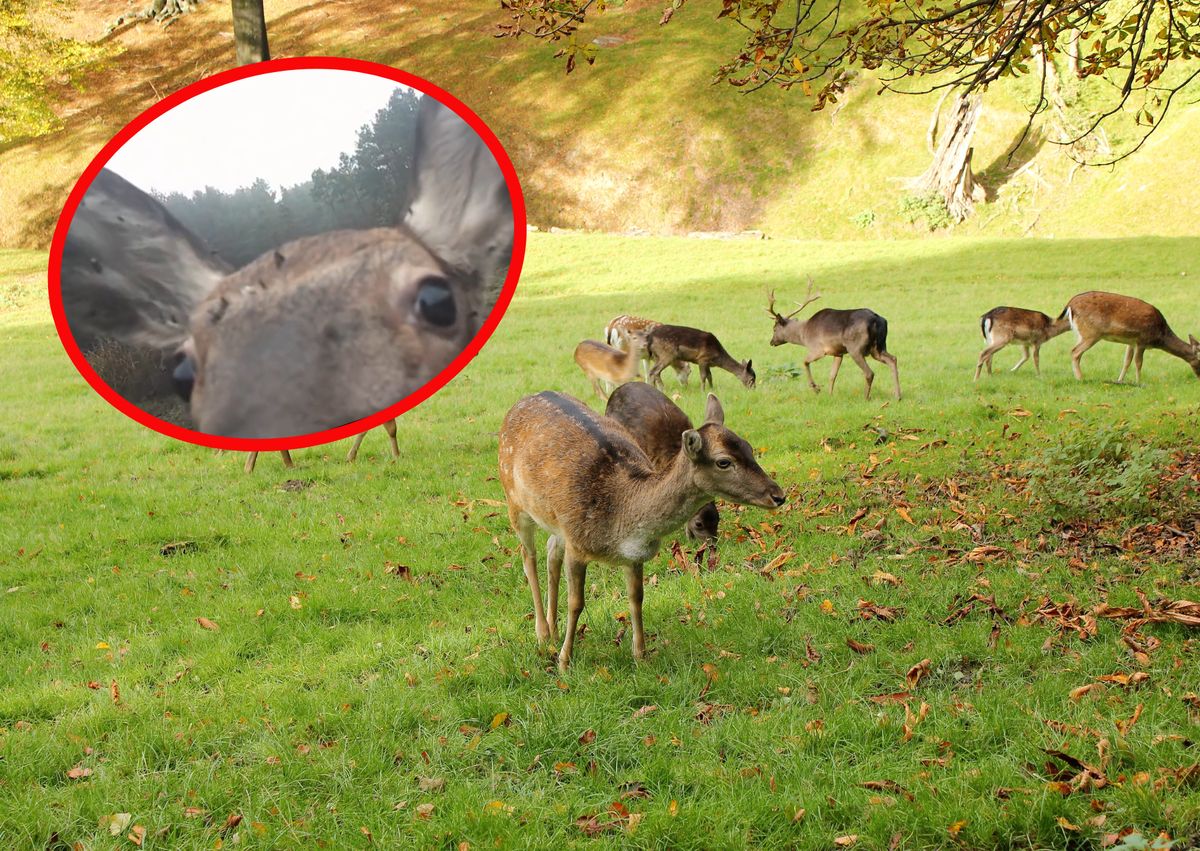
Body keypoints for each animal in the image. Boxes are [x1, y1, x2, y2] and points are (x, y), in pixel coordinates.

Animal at [768, 278, 902, 398]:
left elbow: (804, 361)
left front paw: (815, 388)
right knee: (893, 359)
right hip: (878, 347)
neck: (804, 335)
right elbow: (832, 375)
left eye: (774, 328)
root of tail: (877, 320)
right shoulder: (838, 353)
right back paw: (897, 396)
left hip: (855, 348)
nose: (771, 342)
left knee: (869, 372)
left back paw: (866, 397)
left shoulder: (818, 349)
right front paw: (830, 395)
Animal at [1060, 294, 1200, 384]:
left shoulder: (1130, 342)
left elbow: (1126, 361)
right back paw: (1080, 378)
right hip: (1090, 333)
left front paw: (1119, 380)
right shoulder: (1142, 340)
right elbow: (1138, 362)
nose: (1199, 378)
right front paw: (1139, 382)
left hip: (1084, 334)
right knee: (1075, 351)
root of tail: (1070, 305)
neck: (1160, 337)